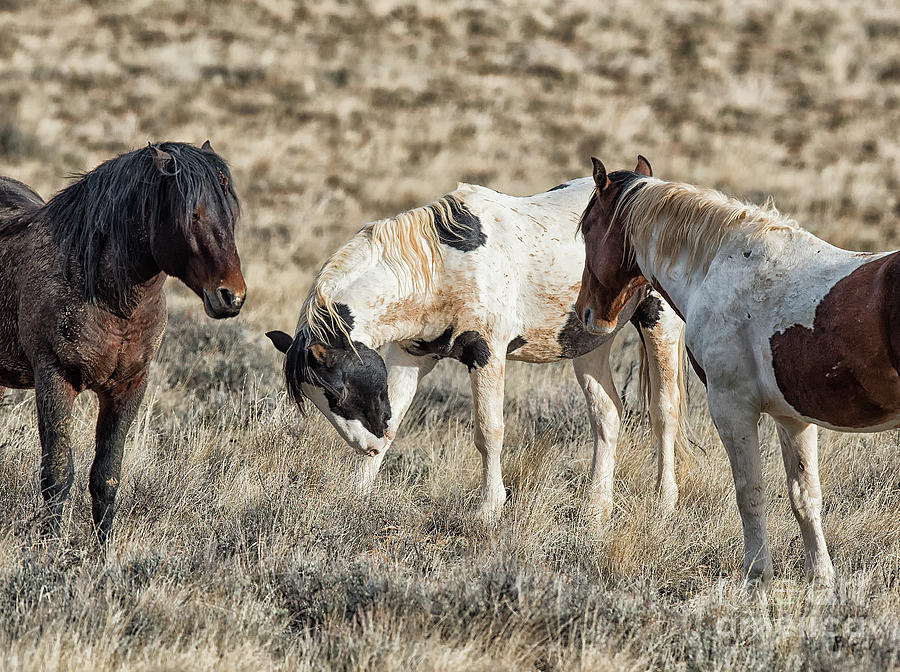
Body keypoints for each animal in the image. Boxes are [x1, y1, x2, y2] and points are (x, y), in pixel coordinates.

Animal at [0, 141, 246, 544]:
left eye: (231, 215)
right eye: (193, 215)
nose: (233, 296)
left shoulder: (128, 388)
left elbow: (106, 477)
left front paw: (101, 552)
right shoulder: (54, 380)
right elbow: (57, 474)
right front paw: (49, 549)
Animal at [266, 175, 686, 523]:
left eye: (337, 392)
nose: (368, 446)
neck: (437, 266)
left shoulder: (486, 353)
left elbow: (489, 432)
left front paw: (489, 508)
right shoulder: (410, 356)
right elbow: (397, 420)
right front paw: (357, 495)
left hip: (659, 323)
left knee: (663, 413)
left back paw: (665, 501)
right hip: (588, 345)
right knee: (607, 415)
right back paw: (597, 508)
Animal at [574, 155, 900, 596]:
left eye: (588, 228)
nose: (587, 313)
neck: (719, 267)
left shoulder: (732, 409)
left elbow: (750, 493)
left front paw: (757, 577)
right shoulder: (792, 417)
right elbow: (804, 496)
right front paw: (821, 579)